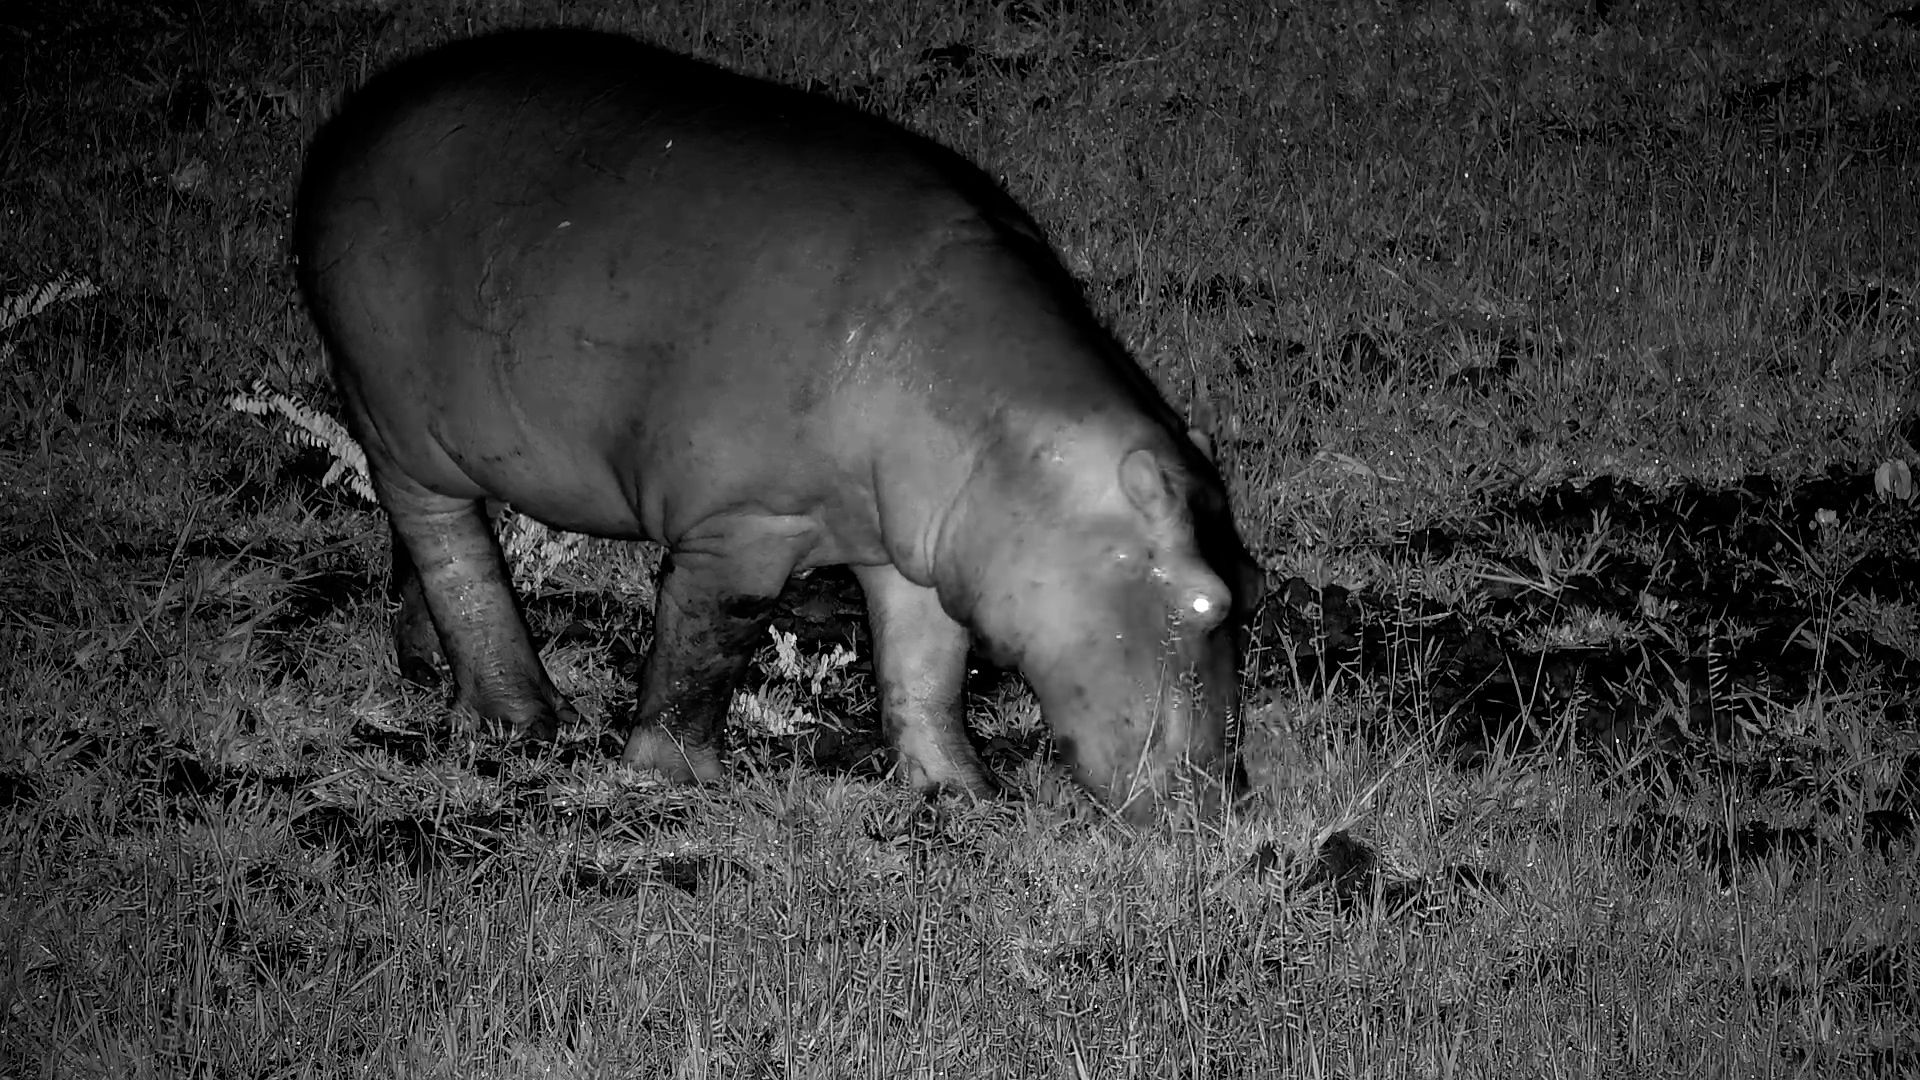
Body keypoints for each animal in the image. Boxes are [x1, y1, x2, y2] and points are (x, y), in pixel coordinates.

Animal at [292, 28, 1262, 822]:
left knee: (429, 544)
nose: (1223, 807)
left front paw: (961, 791)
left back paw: (425, 664)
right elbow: (706, 642)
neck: (1008, 445)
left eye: (1249, 585)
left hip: (439, 431)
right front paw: (673, 779)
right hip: (393, 413)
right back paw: (522, 722)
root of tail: (354, 127)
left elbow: (926, 669)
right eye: (1207, 602)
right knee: (450, 544)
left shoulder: (917, 548)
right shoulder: (743, 524)